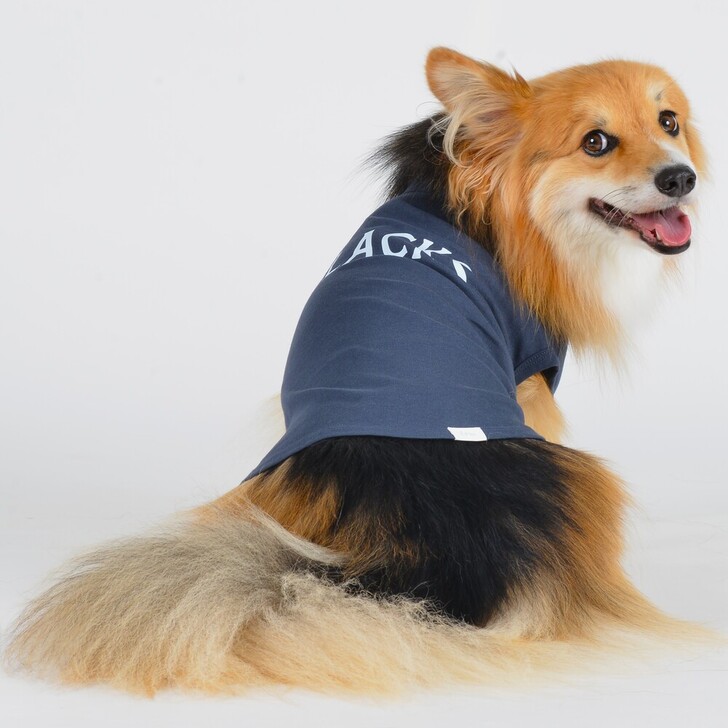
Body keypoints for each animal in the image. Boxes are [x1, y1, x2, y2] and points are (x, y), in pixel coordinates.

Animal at [6, 47, 707, 695]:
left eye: (668, 121)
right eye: (596, 142)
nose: (682, 178)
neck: (493, 209)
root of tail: (411, 556)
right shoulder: (530, 381)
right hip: (585, 477)